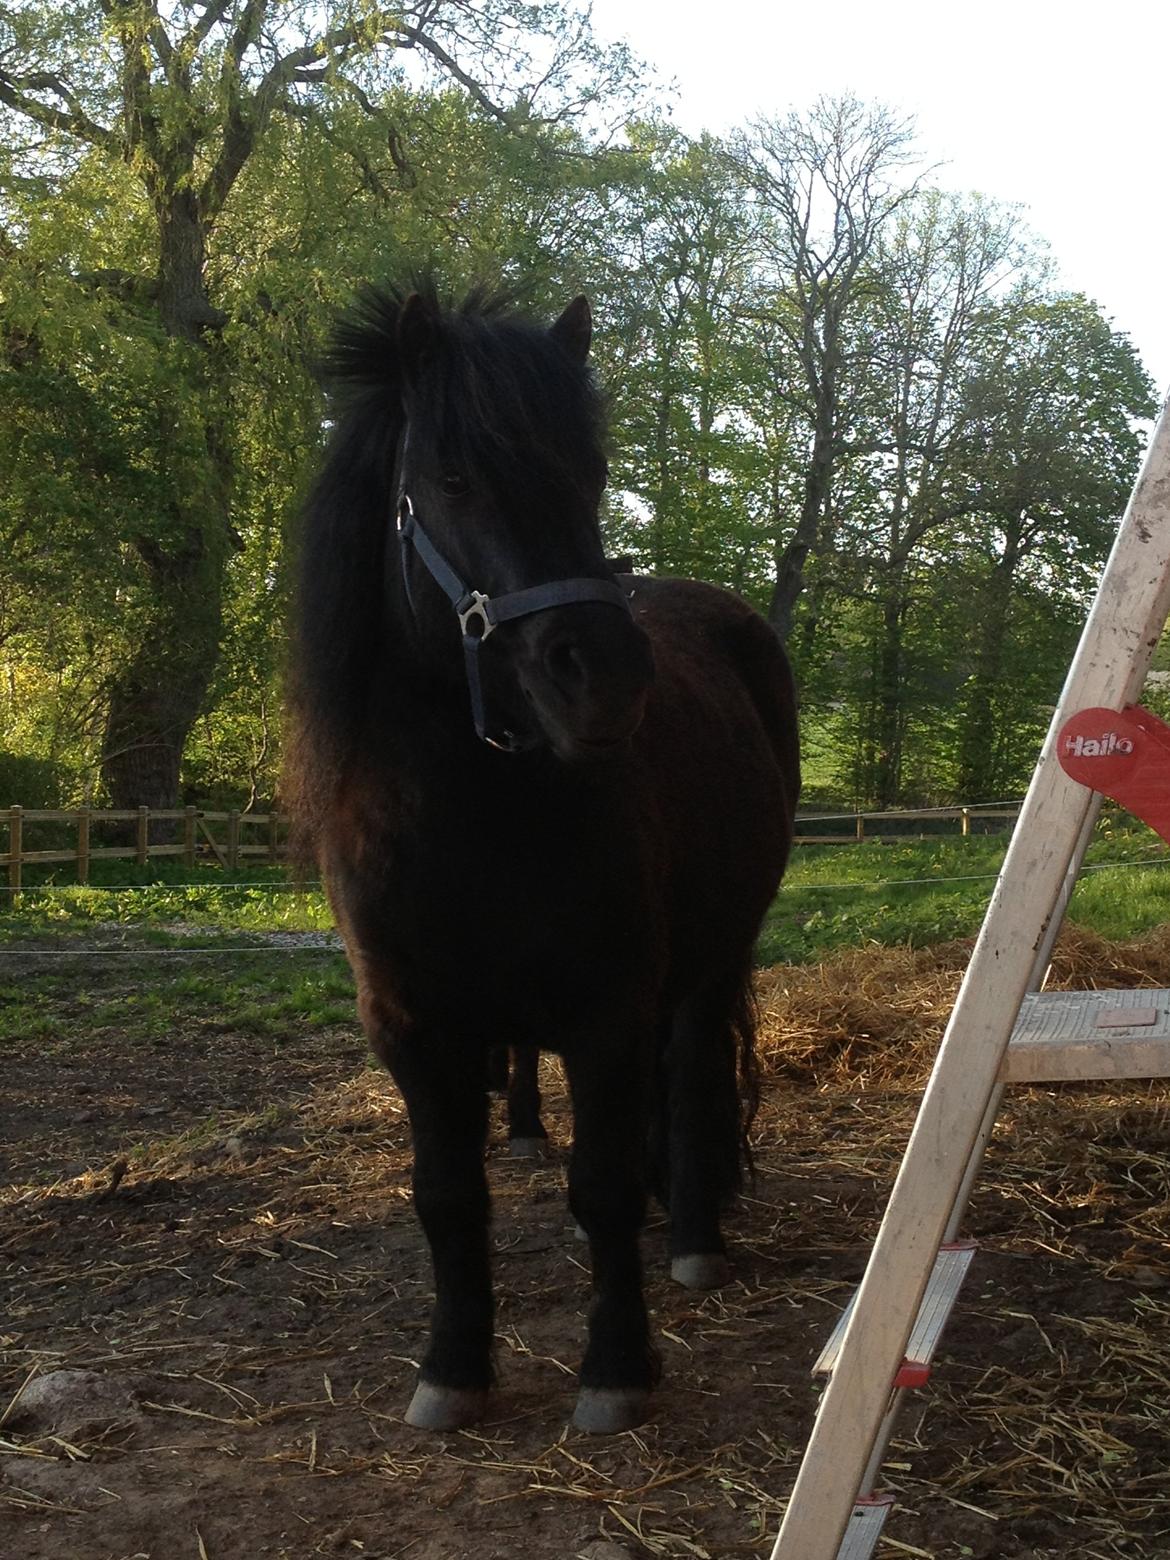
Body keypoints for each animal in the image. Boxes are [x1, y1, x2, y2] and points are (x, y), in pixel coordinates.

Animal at [291, 277, 804, 1428]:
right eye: (451, 476)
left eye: (593, 473)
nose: (605, 679)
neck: (475, 817)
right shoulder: (414, 1030)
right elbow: (448, 1200)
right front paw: (452, 1370)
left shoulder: (606, 1010)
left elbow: (604, 1185)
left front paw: (616, 1369)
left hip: (711, 960)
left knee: (691, 1074)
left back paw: (694, 1236)